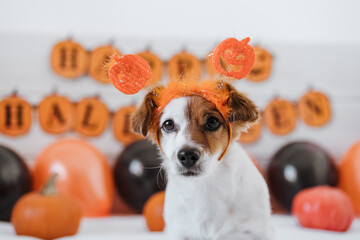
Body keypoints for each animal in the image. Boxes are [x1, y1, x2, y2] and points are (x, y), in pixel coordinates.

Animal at [131, 81, 274, 240]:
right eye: (168, 124)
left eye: (212, 121)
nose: (187, 155)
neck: (206, 187)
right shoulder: (179, 231)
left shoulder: (258, 231)